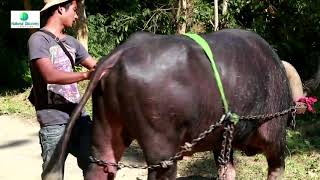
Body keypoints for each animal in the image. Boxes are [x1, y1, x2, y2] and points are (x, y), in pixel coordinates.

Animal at [43, 28, 298, 179]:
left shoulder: (221, 141)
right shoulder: (275, 136)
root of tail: (120, 54)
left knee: (101, 166)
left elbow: (228, 171)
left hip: (106, 127)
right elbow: (276, 169)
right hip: (163, 152)